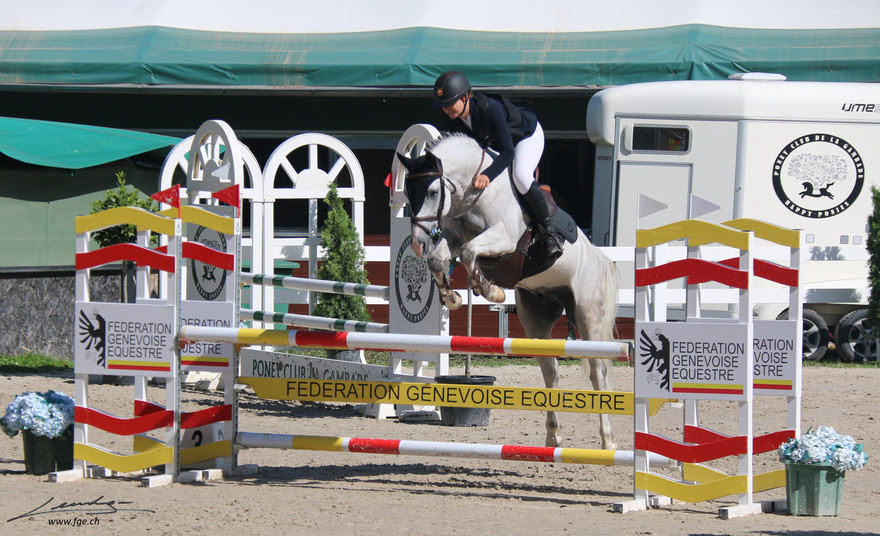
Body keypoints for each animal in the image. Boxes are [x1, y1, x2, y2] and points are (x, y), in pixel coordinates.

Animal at [397, 133, 620, 449]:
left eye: (431, 191)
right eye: (408, 194)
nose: (418, 243)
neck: (472, 193)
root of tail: (599, 258)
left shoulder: (503, 239)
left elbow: (469, 252)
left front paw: (490, 290)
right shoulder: (452, 238)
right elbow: (439, 259)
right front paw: (452, 297)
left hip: (588, 316)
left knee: (597, 373)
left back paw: (608, 441)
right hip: (536, 316)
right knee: (550, 372)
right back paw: (553, 437)